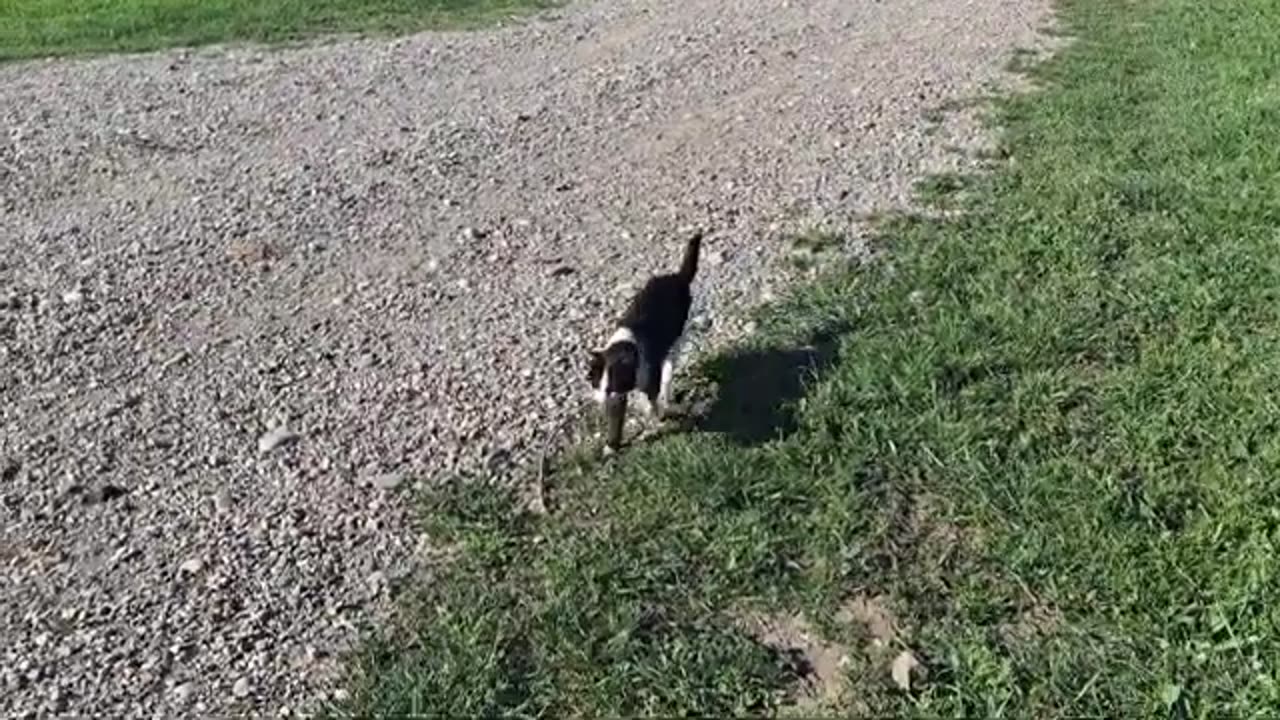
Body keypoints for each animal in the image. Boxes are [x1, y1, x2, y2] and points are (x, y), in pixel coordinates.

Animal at [586, 229, 701, 448]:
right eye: (597, 385)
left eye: (610, 388)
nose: (602, 401)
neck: (625, 346)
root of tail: (677, 277)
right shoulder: (620, 397)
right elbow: (616, 421)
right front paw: (611, 446)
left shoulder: (645, 378)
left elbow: (651, 402)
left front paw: (655, 415)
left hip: (678, 334)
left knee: (670, 365)